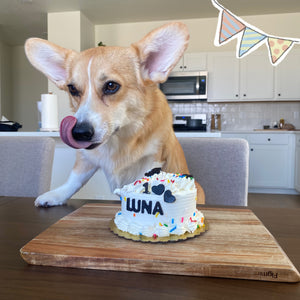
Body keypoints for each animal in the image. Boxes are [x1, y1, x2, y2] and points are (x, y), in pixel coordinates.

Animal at [25, 22, 205, 207]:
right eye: (72, 89)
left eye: (111, 86)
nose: (79, 133)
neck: (119, 140)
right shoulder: (86, 158)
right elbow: (74, 179)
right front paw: (56, 195)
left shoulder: (153, 158)